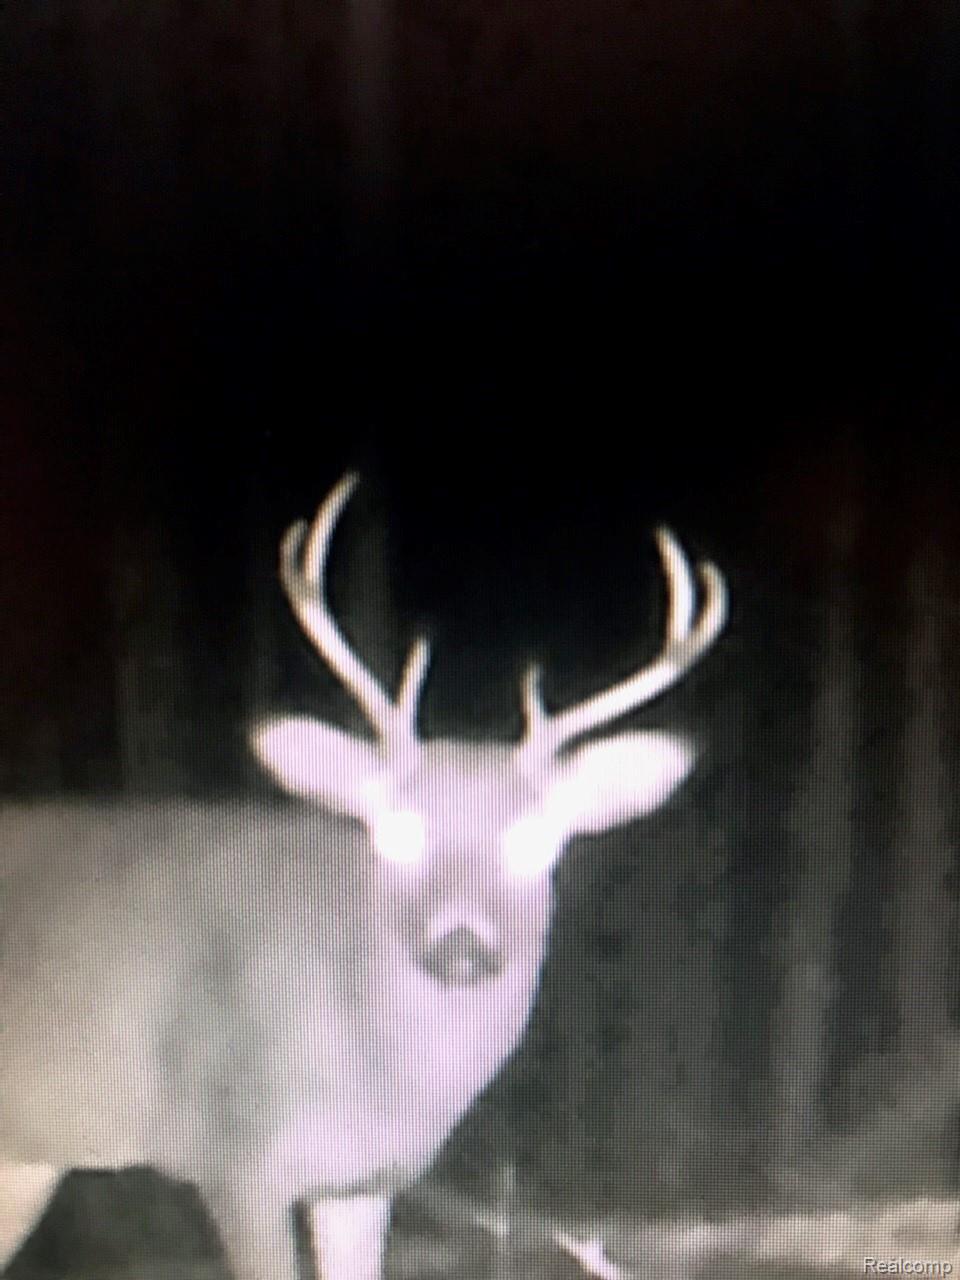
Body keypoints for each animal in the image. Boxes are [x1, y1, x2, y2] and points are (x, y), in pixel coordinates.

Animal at [0, 472, 727, 1280]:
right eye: (396, 831)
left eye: (534, 840)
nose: (462, 940)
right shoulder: (234, 1155)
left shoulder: (366, 1182)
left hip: (28, 1153)